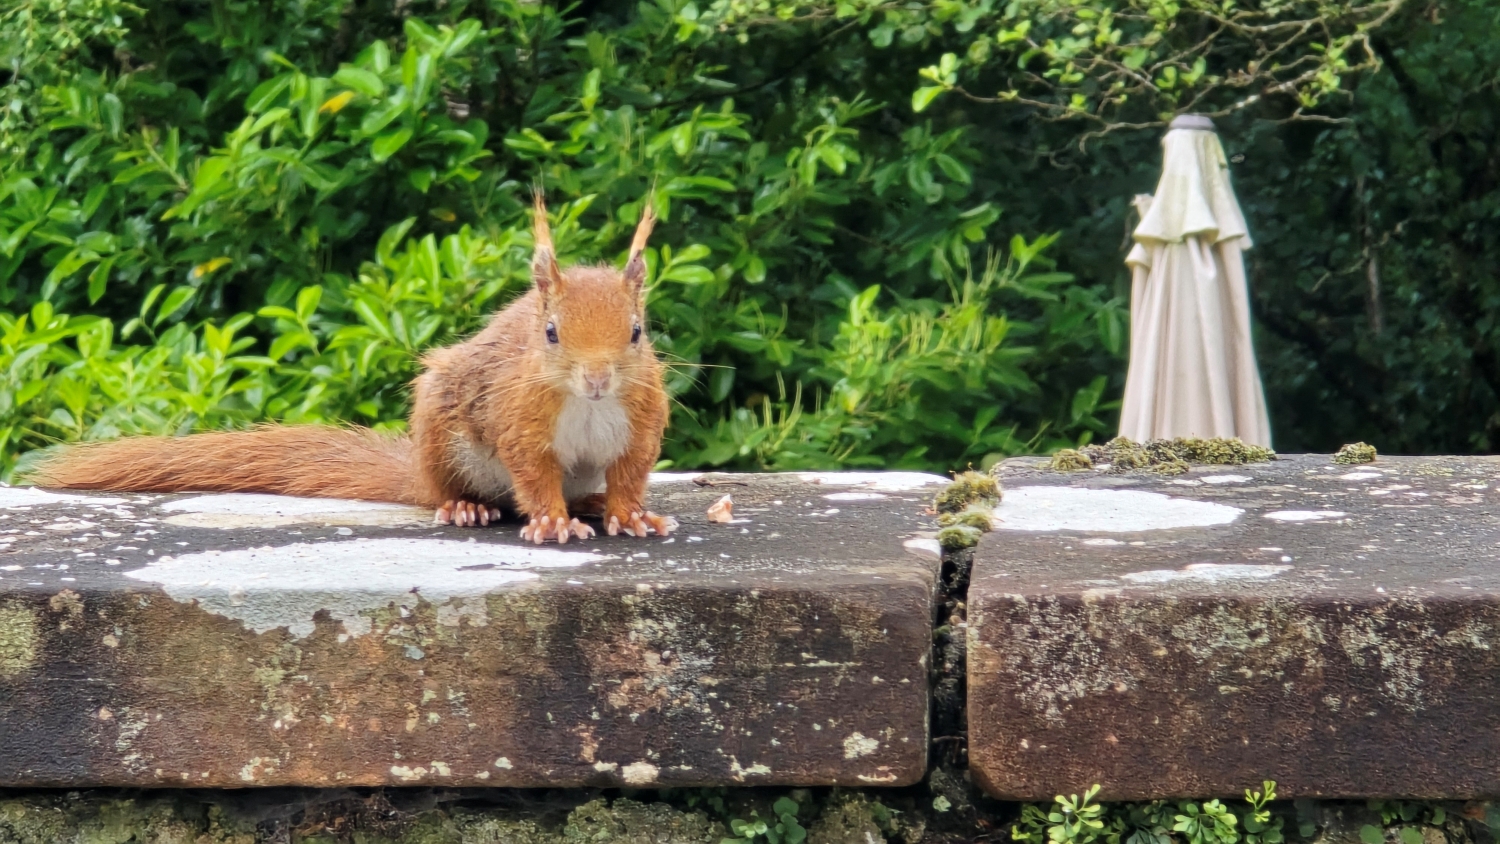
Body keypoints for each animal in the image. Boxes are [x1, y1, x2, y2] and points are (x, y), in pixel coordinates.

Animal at [27, 191, 676, 544]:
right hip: (442, 440)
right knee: (455, 491)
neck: (588, 407)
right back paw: (466, 506)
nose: (597, 379)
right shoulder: (519, 418)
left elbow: (629, 474)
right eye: (550, 333)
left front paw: (629, 515)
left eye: (637, 332)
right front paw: (551, 523)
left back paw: (590, 504)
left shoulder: (639, 423)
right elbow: (534, 475)